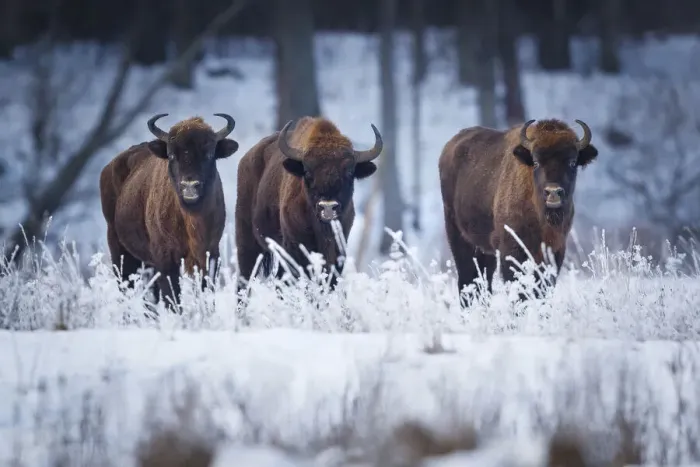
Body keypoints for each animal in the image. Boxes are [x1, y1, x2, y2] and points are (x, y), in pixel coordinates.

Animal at [99, 113, 239, 310]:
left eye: (210, 154)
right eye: (172, 155)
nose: (190, 186)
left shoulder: (209, 253)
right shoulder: (165, 258)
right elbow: (172, 297)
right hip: (118, 248)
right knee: (126, 286)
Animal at [234, 116, 382, 294]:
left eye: (349, 172)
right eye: (307, 172)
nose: (327, 207)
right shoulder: (294, 247)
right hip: (246, 240)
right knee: (245, 278)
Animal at [438, 118, 598, 305]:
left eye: (572, 162)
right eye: (536, 162)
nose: (553, 192)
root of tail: (451, 145)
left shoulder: (555, 249)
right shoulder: (512, 250)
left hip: (485, 248)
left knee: (484, 278)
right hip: (458, 236)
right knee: (467, 279)